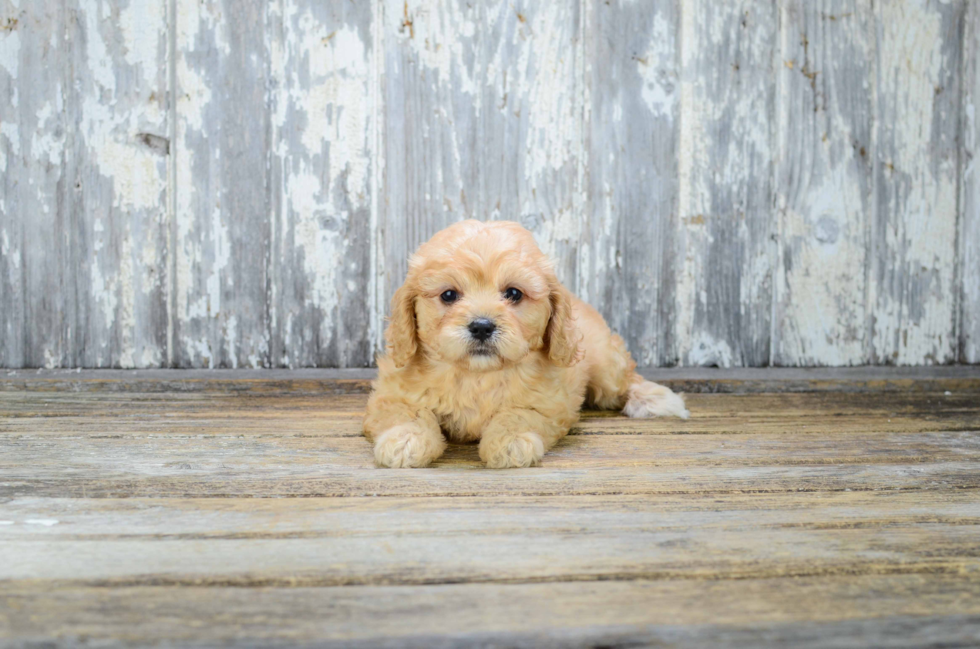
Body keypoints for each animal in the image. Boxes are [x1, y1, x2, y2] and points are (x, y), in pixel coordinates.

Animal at [364, 220, 692, 468]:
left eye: (513, 293)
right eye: (448, 295)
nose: (482, 326)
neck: (476, 375)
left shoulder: (549, 404)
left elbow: (518, 415)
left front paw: (510, 441)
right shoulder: (391, 394)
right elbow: (409, 413)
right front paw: (405, 440)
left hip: (604, 365)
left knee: (624, 379)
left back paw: (654, 398)